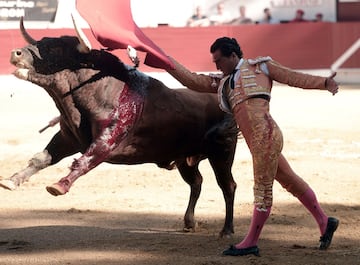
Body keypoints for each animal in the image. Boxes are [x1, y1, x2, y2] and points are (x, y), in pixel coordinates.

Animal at [2, 17, 240, 237]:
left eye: (55, 49)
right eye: (40, 42)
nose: (15, 53)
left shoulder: (107, 141)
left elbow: (85, 160)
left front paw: (59, 186)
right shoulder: (67, 138)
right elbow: (41, 158)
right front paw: (11, 181)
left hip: (222, 153)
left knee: (227, 186)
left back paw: (227, 230)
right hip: (185, 159)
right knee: (196, 182)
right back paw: (189, 222)